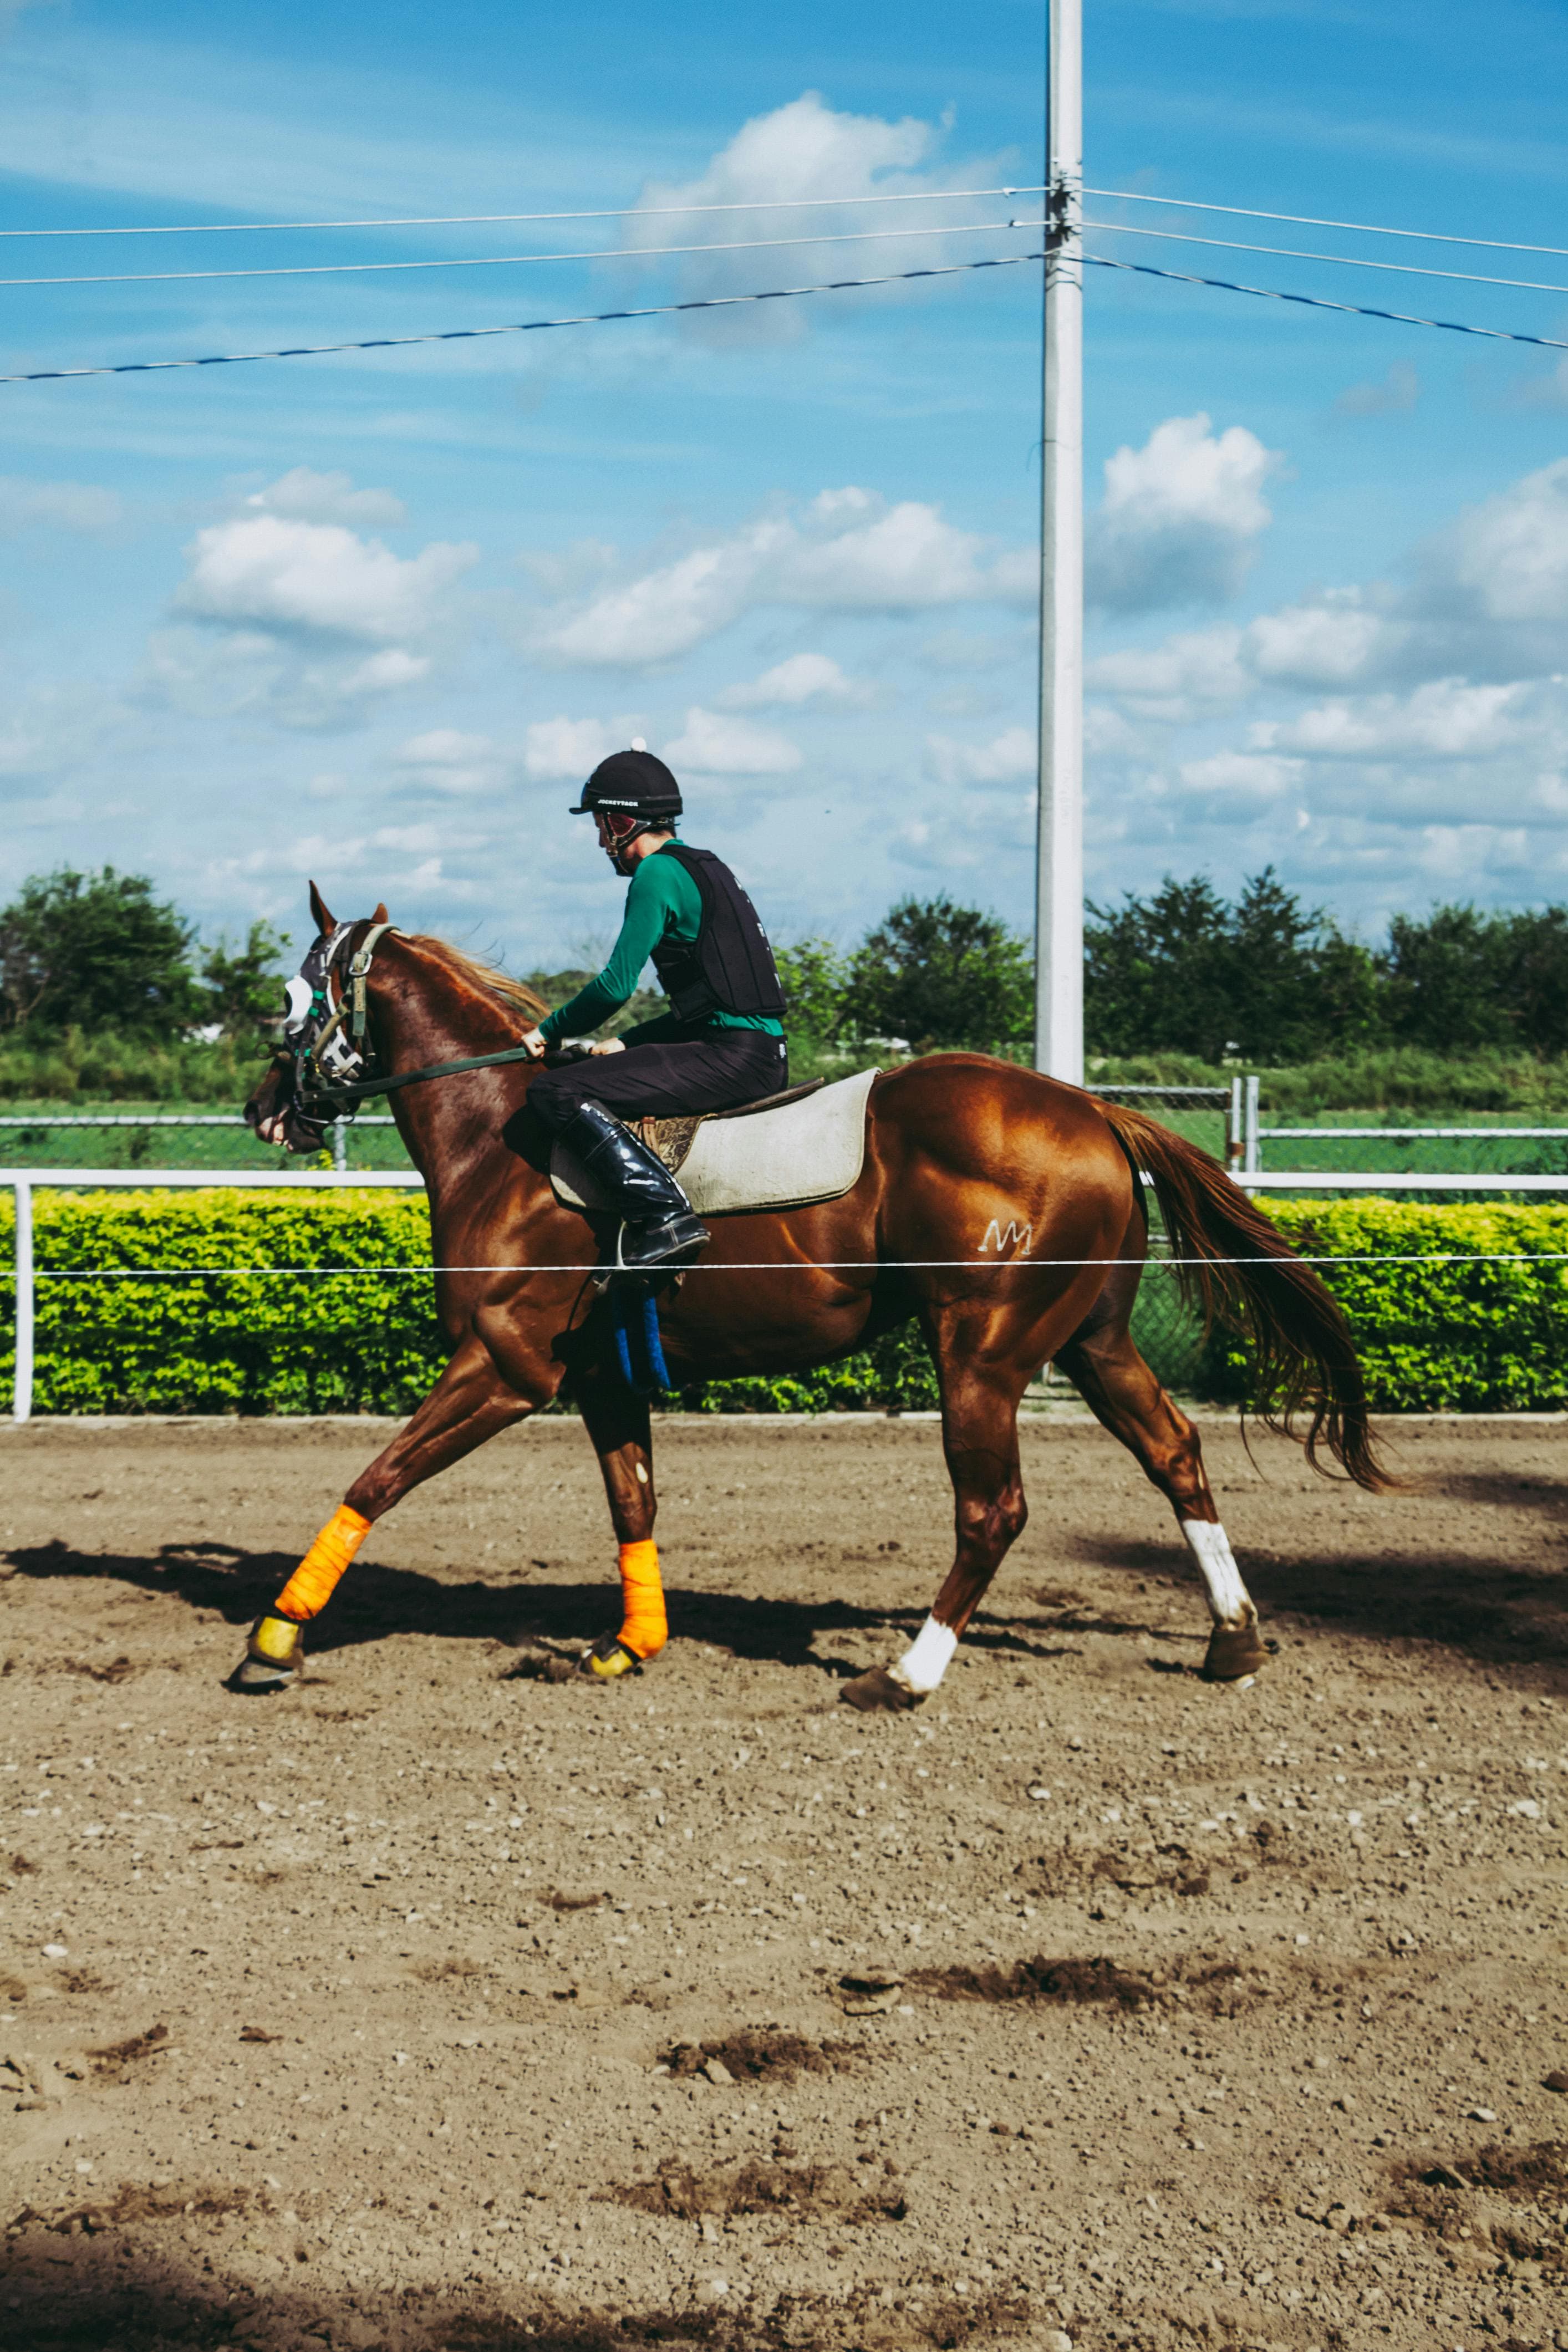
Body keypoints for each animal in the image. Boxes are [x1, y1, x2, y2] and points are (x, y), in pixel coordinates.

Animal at [237, 885, 1387, 1709]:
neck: (501, 1136)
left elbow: (377, 1477)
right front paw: (629, 1642)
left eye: (290, 1001)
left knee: (993, 1509)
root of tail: (1094, 1110)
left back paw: (907, 1672)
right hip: (1090, 1342)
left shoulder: (506, 1366)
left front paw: (276, 1634)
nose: (262, 1110)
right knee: (1173, 1453)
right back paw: (1231, 1639)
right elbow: (632, 1501)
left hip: (981, 1351)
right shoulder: (599, 1373)